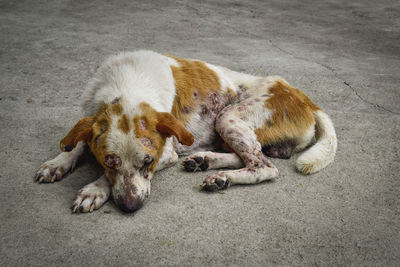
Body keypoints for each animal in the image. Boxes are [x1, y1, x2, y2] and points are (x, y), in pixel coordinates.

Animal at [34, 50, 336, 214]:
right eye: (110, 162)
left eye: (149, 162)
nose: (131, 207)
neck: (128, 85)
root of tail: (304, 98)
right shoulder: (93, 118)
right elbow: (78, 142)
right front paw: (57, 163)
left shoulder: (166, 153)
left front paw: (94, 189)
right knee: (249, 156)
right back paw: (205, 162)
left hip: (228, 117)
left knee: (264, 166)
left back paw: (221, 176)